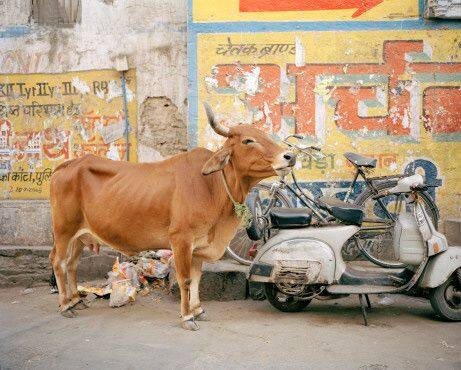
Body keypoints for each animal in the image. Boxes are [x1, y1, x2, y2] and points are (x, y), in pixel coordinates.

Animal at [49, 102, 294, 330]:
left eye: (266, 135)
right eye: (248, 141)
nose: (289, 156)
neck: (212, 186)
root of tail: (67, 165)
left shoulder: (198, 246)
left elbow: (196, 279)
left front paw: (198, 310)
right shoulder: (181, 240)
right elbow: (185, 279)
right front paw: (187, 317)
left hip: (80, 235)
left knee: (72, 264)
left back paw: (76, 300)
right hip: (63, 230)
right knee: (58, 262)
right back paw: (66, 305)